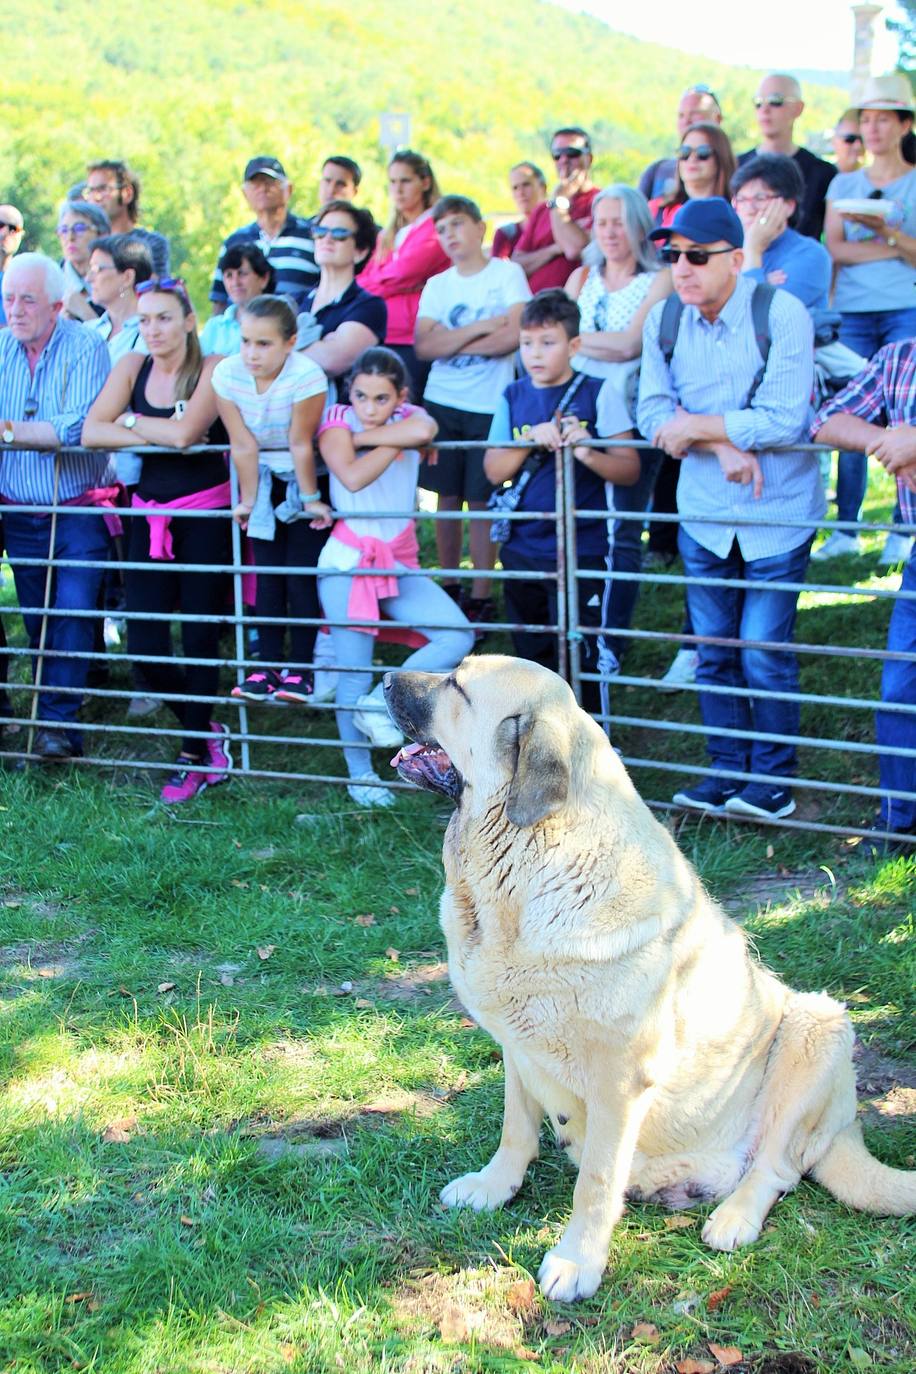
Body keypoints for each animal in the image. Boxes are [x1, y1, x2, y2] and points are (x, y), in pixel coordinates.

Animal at [387, 659, 916, 1302]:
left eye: (458, 687)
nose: (384, 679)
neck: (522, 863)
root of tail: (845, 1131)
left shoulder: (620, 1078)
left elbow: (594, 1180)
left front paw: (578, 1262)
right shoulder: (518, 1047)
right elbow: (516, 1128)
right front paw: (494, 1186)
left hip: (816, 1026)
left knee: (777, 1168)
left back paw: (734, 1218)